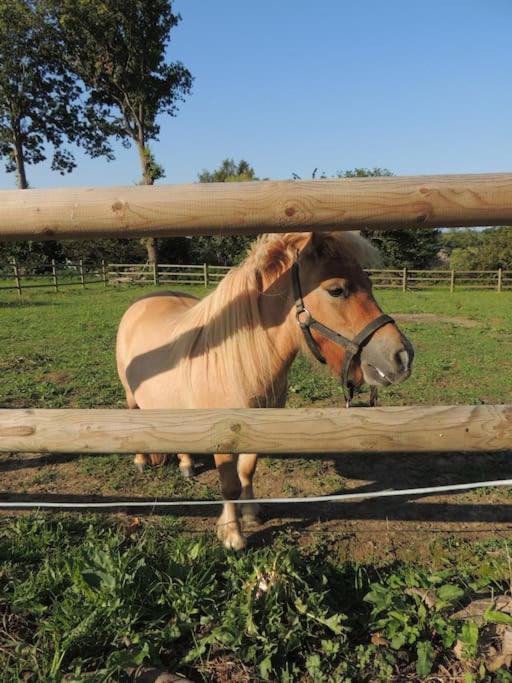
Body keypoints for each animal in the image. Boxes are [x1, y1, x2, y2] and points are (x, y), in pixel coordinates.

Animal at [116, 231, 414, 550]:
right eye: (337, 290)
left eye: (369, 284)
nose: (402, 356)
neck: (239, 360)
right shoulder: (223, 436)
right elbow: (229, 484)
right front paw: (232, 534)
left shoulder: (258, 427)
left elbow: (247, 471)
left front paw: (251, 513)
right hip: (132, 398)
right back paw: (141, 461)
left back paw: (186, 464)